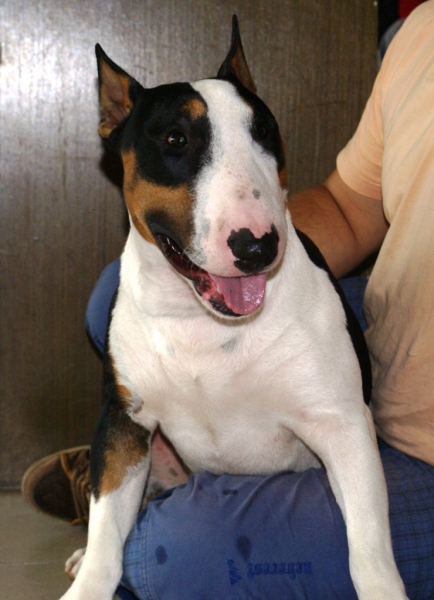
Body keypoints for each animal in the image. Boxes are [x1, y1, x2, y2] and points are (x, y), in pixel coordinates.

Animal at [60, 17, 407, 600]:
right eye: (176, 139)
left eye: (265, 131)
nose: (258, 247)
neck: (201, 322)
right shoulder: (124, 422)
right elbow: (107, 539)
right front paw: (88, 573)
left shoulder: (342, 423)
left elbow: (370, 552)